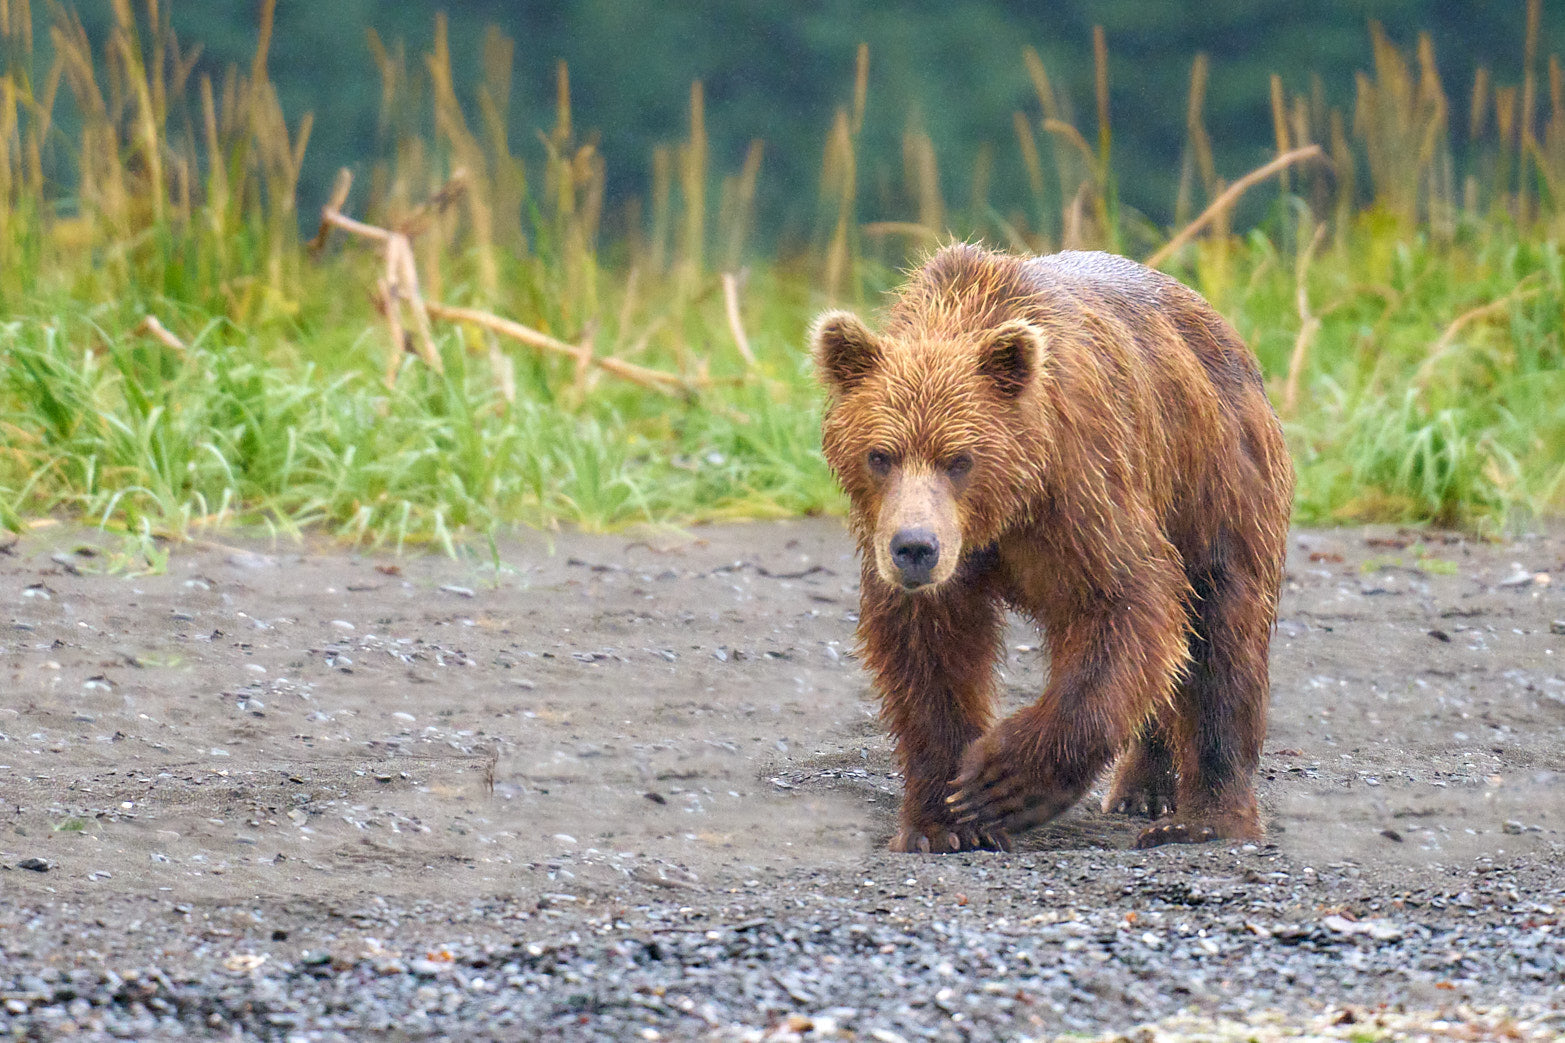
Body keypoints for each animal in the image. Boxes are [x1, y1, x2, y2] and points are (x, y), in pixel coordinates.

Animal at [812, 243, 1294, 853]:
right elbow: (927, 653)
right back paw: (1143, 789)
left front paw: (1001, 782)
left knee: (1221, 632)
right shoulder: (923, 556)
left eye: (960, 459)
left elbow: (1127, 602)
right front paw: (941, 822)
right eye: (880, 455)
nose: (914, 547)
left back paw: (1202, 818)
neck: (1002, 514)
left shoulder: (1082, 487)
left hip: (1216, 478)